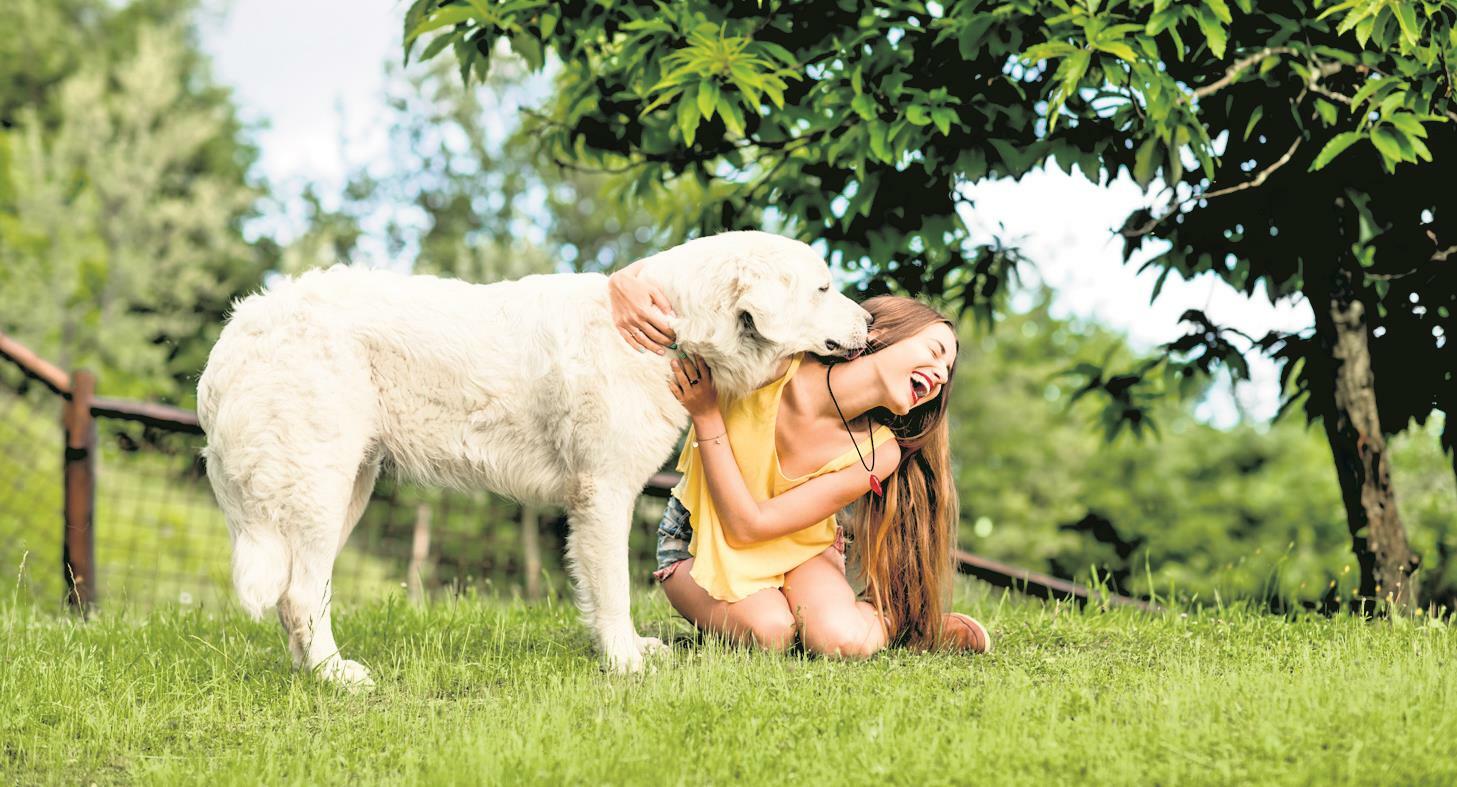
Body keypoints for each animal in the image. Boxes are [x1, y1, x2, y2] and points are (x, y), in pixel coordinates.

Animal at [196, 230, 871, 687]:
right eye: (823, 288)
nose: (868, 320)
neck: (675, 325)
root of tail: (240, 326)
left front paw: (624, 650)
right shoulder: (604, 492)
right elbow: (613, 588)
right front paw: (624, 661)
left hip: (347, 490)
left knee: (298, 597)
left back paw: (311, 671)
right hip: (319, 488)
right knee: (299, 593)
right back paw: (335, 676)